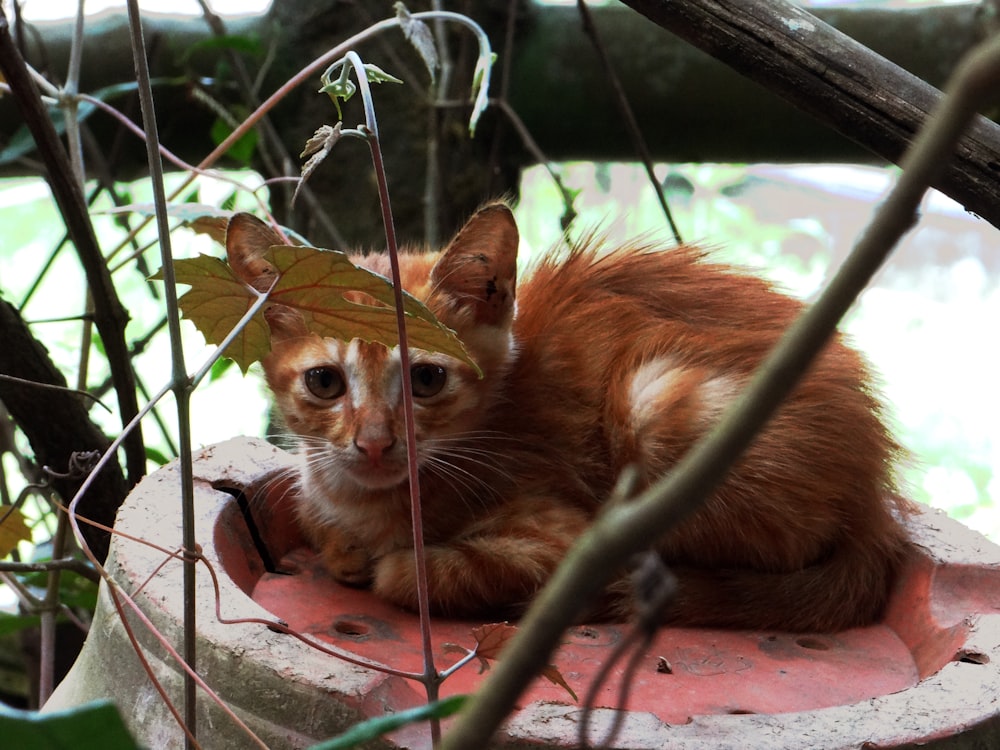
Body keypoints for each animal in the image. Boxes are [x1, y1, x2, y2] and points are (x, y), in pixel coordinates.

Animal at [229, 206, 916, 636]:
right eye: (325, 382)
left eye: (426, 380)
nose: (374, 444)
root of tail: (875, 499)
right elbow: (321, 523)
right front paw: (342, 542)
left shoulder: (565, 537)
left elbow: (409, 573)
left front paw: (388, 562)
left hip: (655, 400)